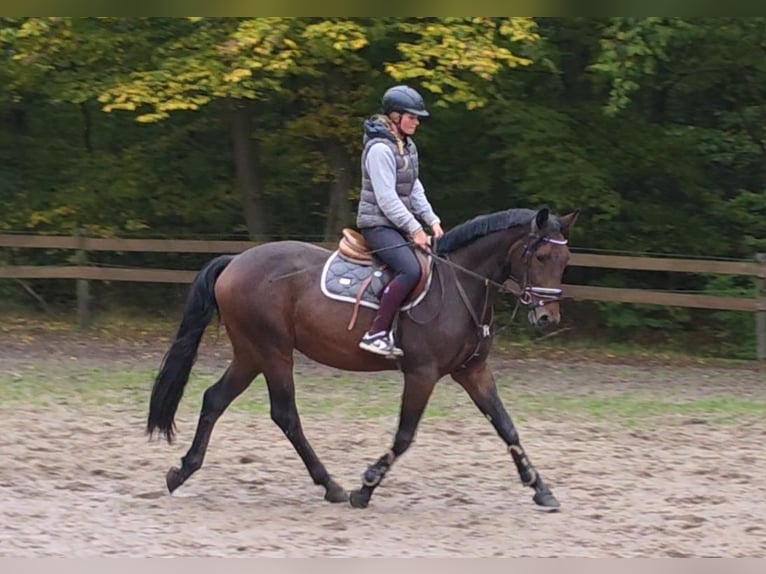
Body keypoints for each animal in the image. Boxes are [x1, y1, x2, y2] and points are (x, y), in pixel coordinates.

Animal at [147, 207, 578, 511]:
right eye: (541, 256)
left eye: (565, 259)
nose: (547, 318)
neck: (460, 283)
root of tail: (235, 262)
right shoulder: (422, 374)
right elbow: (404, 435)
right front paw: (366, 486)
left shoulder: (473, 371)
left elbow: (507, 427)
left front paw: (541, 488)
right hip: (272, 352)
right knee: (285, 414)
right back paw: (332, 485)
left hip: (251, 353)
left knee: (215, 399)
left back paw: (182, 471)